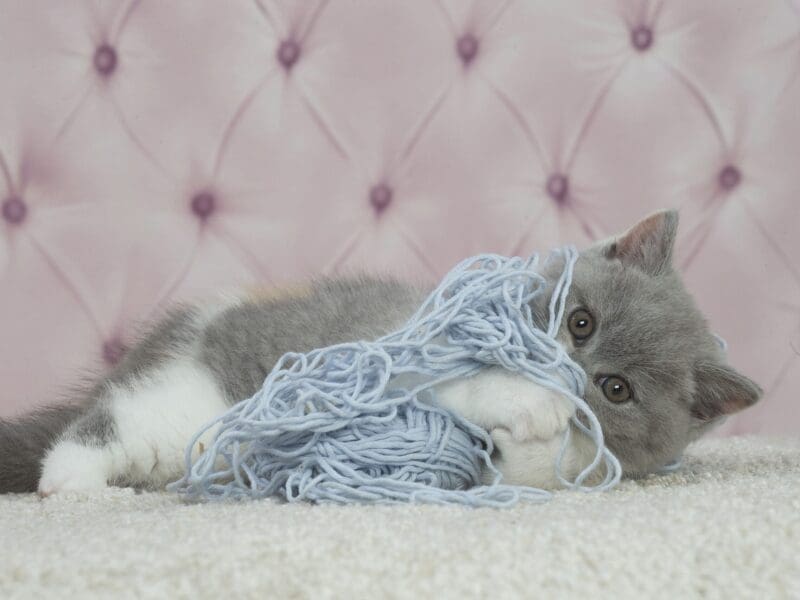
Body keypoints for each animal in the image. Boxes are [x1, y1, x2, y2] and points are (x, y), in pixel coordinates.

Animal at [0, 209, 764, 494]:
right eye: (580, 321)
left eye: (616, 390)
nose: (567, 373)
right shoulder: (393, 347)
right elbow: (463, 378)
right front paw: (529, 399)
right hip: (187, 414)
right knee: (93, 435)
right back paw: (79, 486)